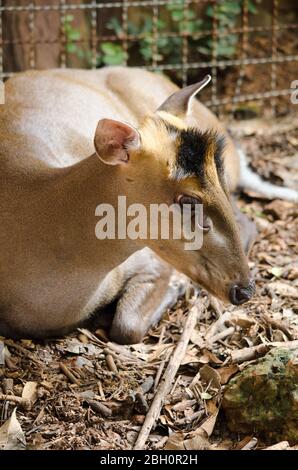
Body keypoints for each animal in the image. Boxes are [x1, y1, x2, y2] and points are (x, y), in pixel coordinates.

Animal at [0, 66, 294, 344]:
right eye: (188, 199)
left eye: (217, 178)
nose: (244, 289)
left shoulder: (153, 261)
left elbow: (126, 327)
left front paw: (178, 287)